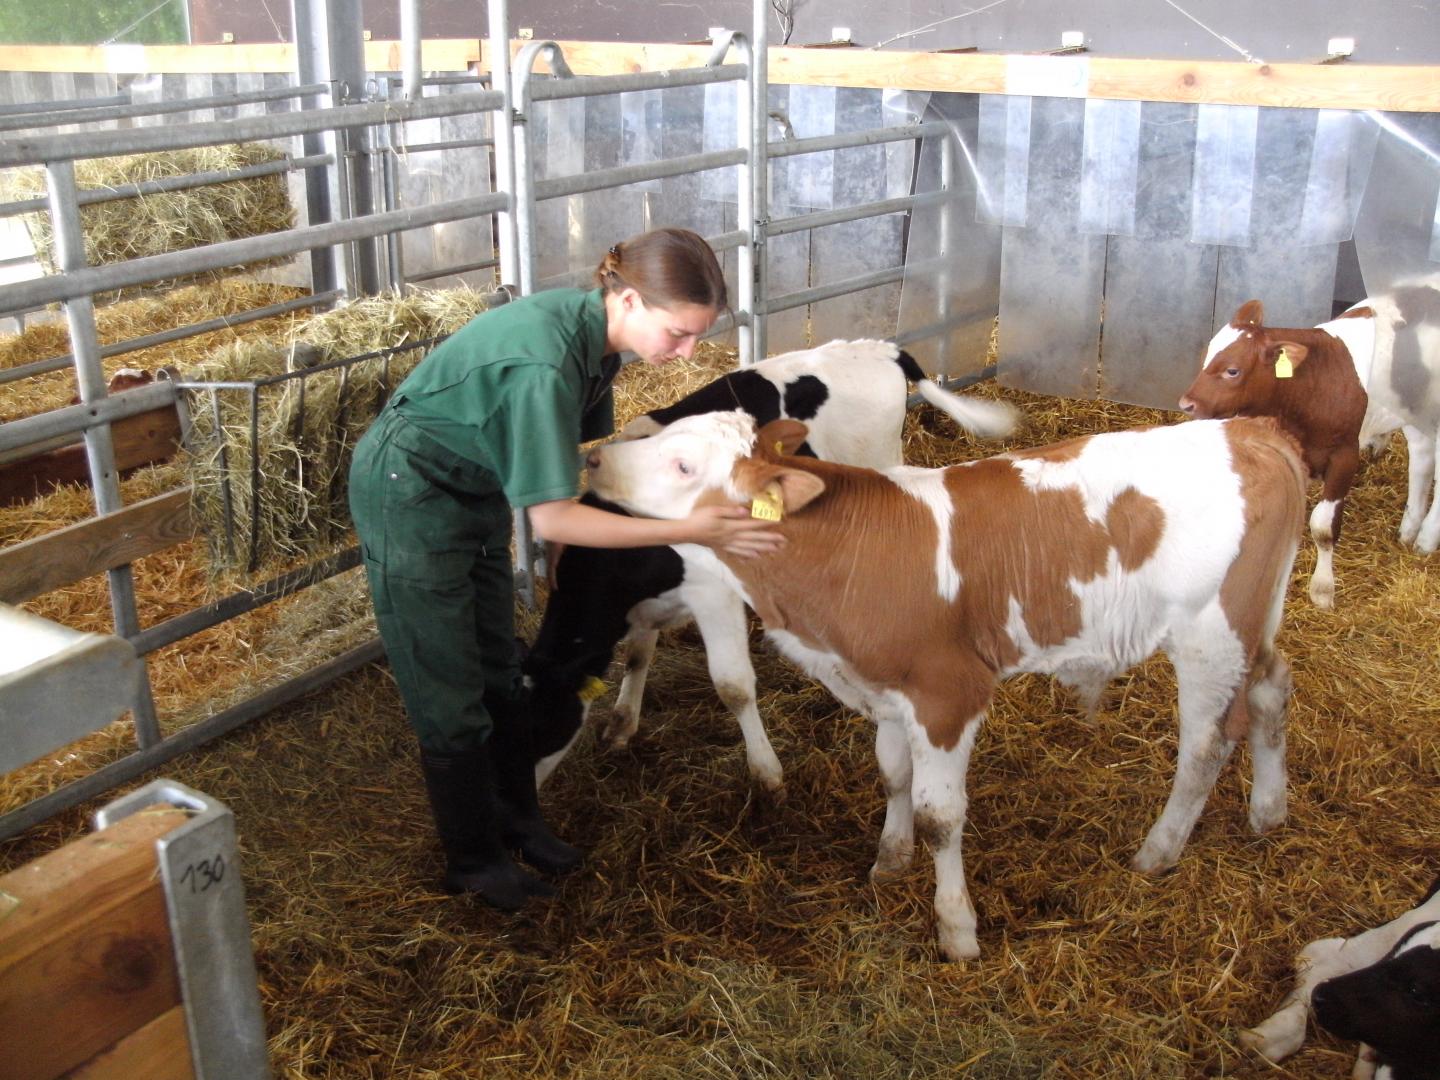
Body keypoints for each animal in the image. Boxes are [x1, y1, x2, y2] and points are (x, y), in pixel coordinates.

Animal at [525, 339, 1019, 791]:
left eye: (535, 725)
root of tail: (881, 348)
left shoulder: (713, 592)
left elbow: (733, 686)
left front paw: (765, 769)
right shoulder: (650, 600)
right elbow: (638, 654)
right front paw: (623, 720)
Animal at [584, 409, 1305, 960]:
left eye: (683, 465)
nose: (593, 459)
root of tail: (1251, 431)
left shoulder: (946, 693)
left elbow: (941, 815)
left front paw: (956, 928)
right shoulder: (887, 689)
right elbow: (893, 775)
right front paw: (889, 859)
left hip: (1211, 634)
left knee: (1206, 747)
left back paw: (1157, 851)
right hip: (1257, 626)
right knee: (1273, 687)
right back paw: (1268, 811)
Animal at [1179, 281, 1440, 608]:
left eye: (1232, 371)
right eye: (1206, 356)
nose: (1186, 404)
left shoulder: (1344, 456)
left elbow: (1323, 526)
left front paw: (1322, 589)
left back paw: (1426, 538)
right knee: (1421, 458)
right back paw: (1408, 530)